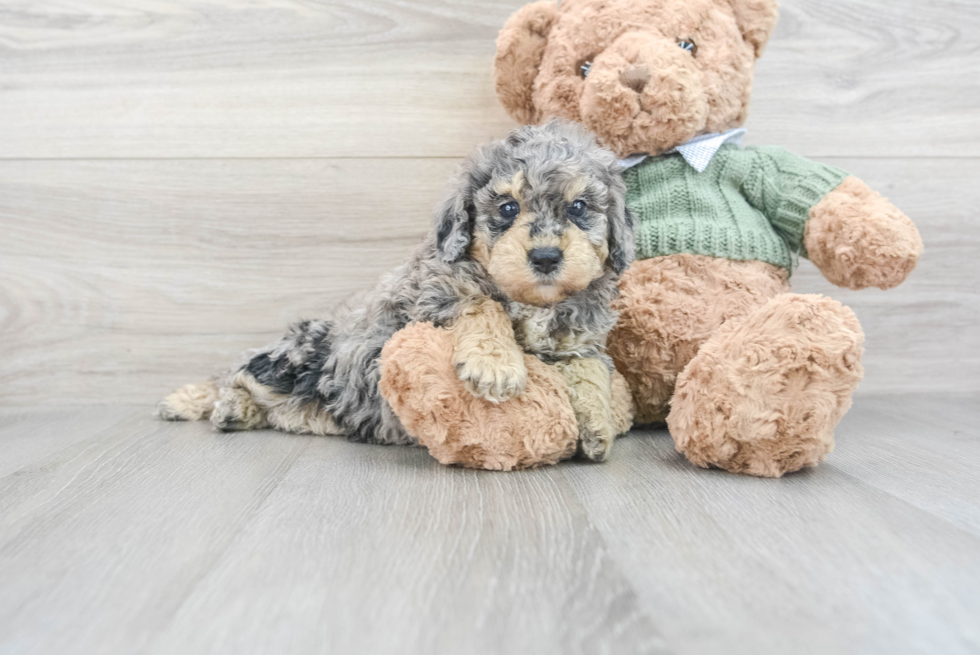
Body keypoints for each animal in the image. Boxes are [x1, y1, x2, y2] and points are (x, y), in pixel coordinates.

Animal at [161, 121, 636, 462]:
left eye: (578, 207)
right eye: (507, 208)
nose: (545, 257)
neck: (533, 302)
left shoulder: (580, 342)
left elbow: (592, 370)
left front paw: (598, 427)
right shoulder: (429, 295)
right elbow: (481, 302)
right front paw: (495, 363)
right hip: (295, 360)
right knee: (235, 373)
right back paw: (204, 403)